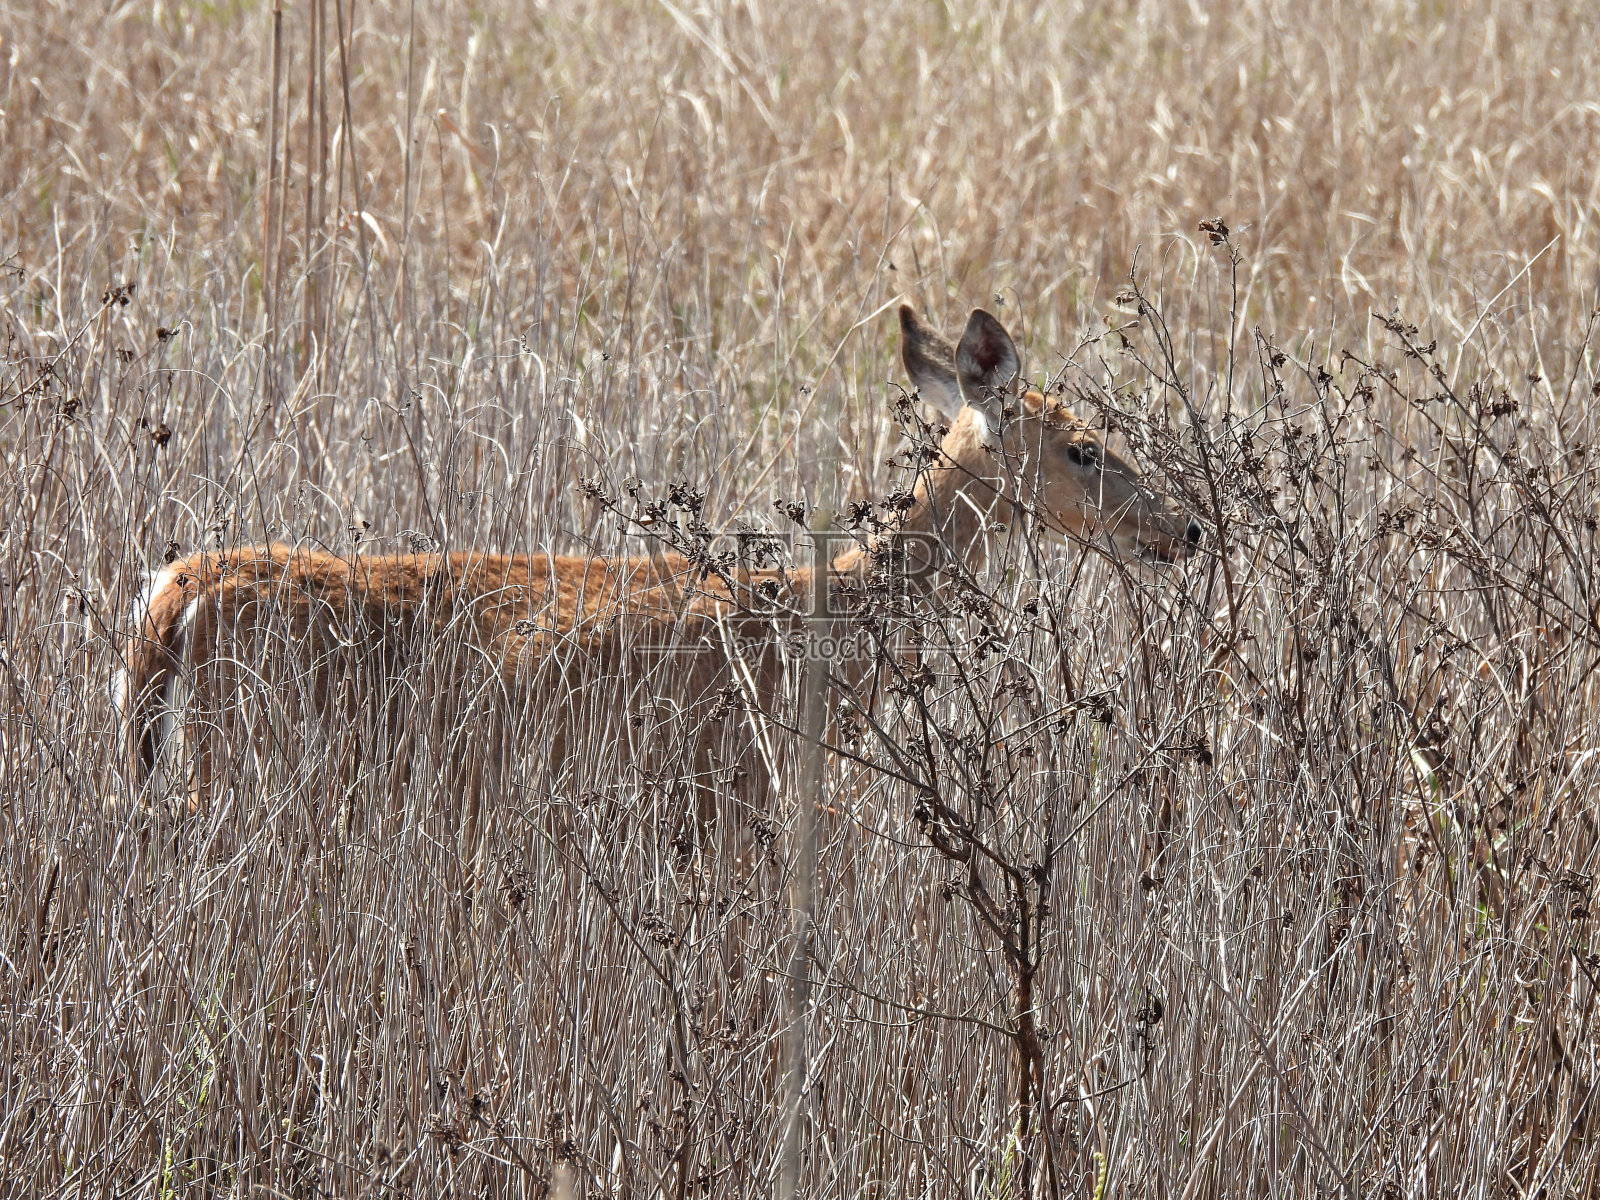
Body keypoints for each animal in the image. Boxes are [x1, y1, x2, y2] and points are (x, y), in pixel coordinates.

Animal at [115, 306, 1201, 816]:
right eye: (1084, 448)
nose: (1185, 530)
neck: (825, 628)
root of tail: (169, 598)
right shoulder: (731, 781)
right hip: (245, 765)